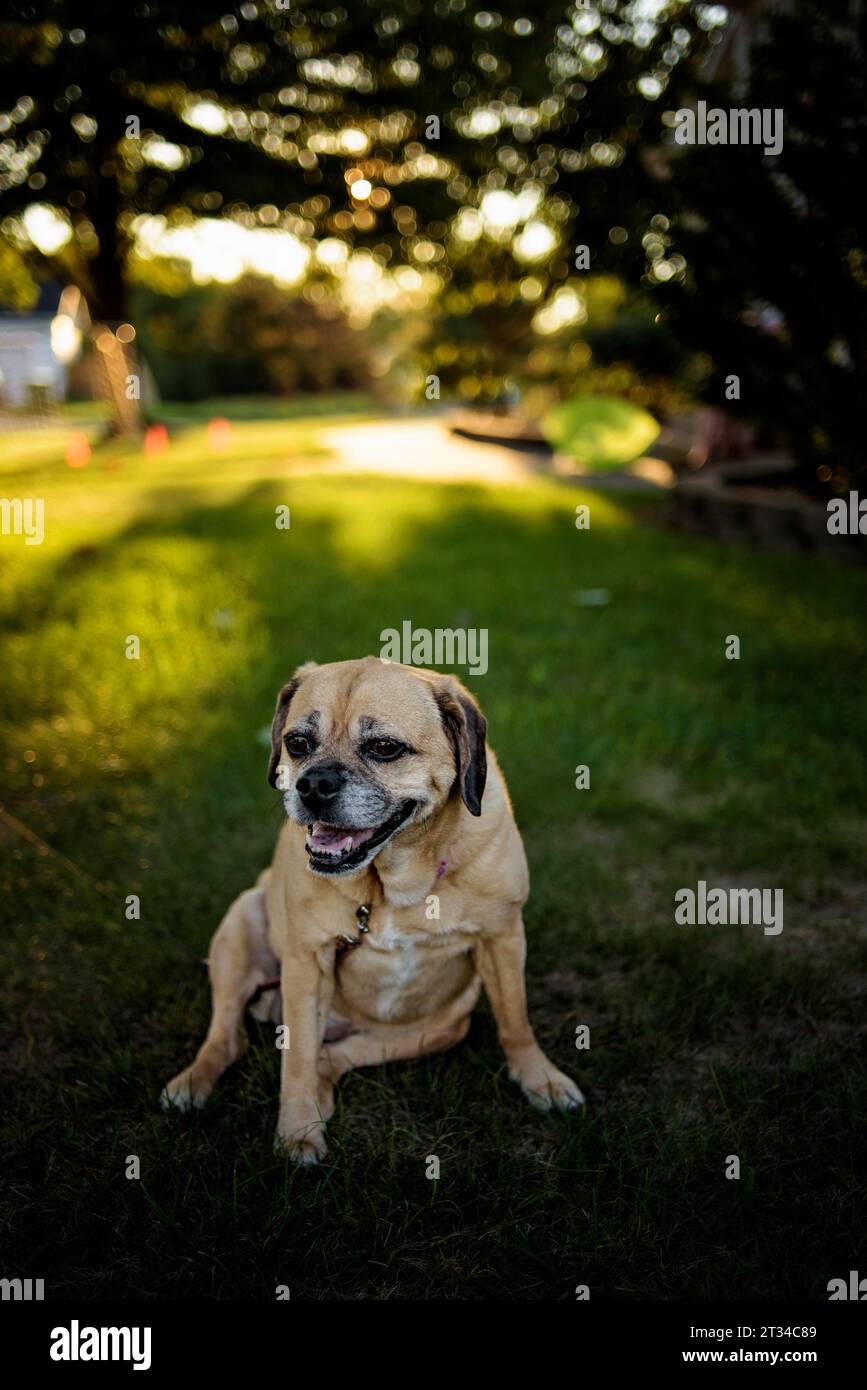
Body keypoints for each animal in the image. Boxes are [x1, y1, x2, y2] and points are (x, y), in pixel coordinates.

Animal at [162, 658, 583, 1162]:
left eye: (384, 748)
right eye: (297, 743)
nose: (314, 783)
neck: (393, 884)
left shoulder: (502, 938)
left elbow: (516, 1021)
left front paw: (540, 1079)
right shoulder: (307, 962)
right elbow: (296, 1061)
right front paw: (298, 1130)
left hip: (444, 1026)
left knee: (335, 1055)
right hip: (241, 926)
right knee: (229, 1035)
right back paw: (194, 1083)